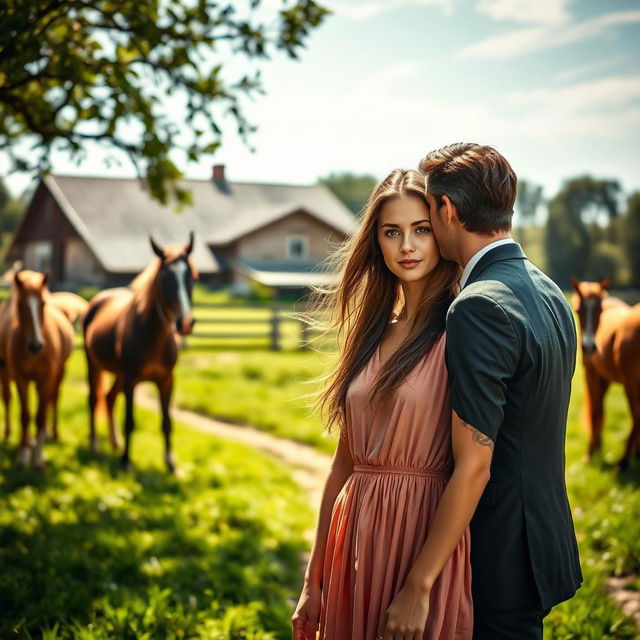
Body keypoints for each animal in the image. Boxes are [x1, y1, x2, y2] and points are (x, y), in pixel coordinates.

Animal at [0, 268, 74, 468]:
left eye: (43, 304)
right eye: (20, 305)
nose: (35, 345)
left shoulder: (47, 378)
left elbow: (41, 416)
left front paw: (38, 457)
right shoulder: (21, 378)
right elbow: (25, 416)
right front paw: (24, 454)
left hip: (59, 374)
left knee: (53, 400)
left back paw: (50, 434)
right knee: (7, 399)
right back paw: (12, 435)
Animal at [83, 234, 198, 470]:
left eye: (191, 277)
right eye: (164, 278)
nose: (185, 323)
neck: (153, 338)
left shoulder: (166, 380)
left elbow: (167, 422)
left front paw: (170, 463)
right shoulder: (131, 380)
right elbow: (129, 421)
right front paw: (126, 461)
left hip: (118, 375)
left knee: (109, 398)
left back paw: (115, 443)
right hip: (93, 364)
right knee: (93, 399)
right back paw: (95, 445)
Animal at [568, 276, 640, 470]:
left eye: (599, 310)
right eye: (578, 310)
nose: (588, 347)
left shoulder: (591, 374)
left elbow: (595, 411)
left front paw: (590, 453)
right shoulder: (604, 378)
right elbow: (600, 410)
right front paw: (598, 447)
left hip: (631, 386)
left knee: (636, 417)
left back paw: (623, 462)